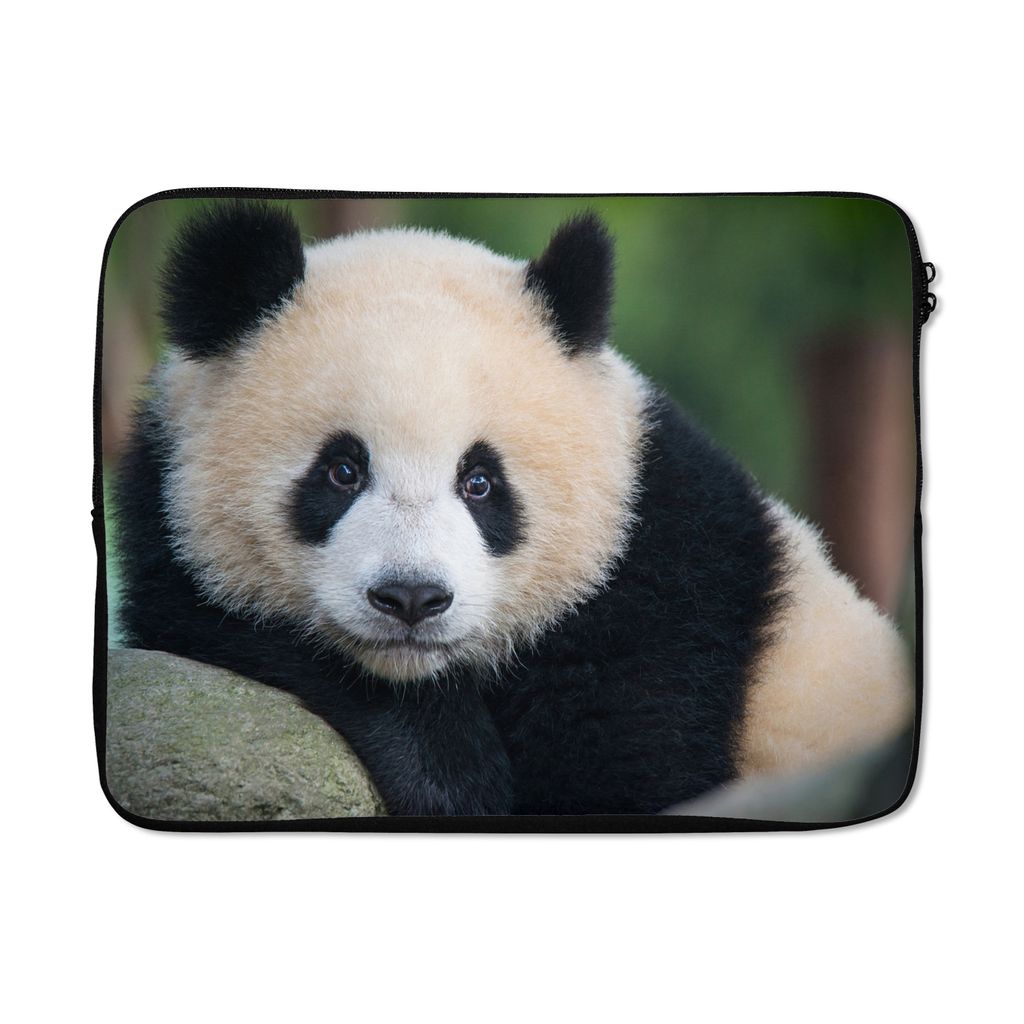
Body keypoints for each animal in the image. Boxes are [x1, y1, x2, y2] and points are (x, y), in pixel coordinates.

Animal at [114, 201, 912, 817]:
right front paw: (447, 768)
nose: (412, 598)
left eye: (481, 483)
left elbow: (618, 774)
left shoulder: (662, 591)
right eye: (341, 470)